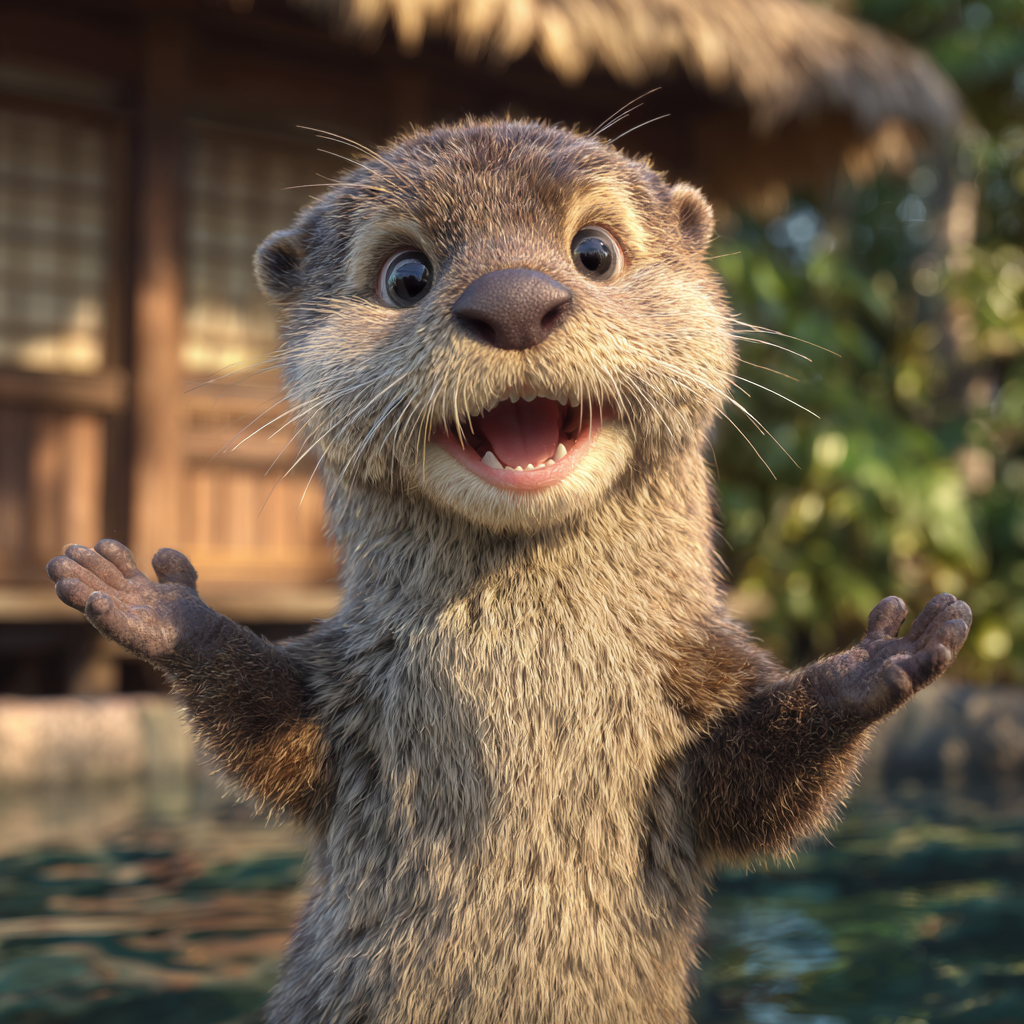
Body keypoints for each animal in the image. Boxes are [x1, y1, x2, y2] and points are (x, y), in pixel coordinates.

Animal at [48, 118, 971, 1023]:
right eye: (406, 275)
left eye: (593, 251)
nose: (514, 299)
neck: (533, 657)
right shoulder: (346, 687)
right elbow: (261, 731)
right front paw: (156, 607)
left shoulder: (702, 674)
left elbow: (766, 795)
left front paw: (872, 662)